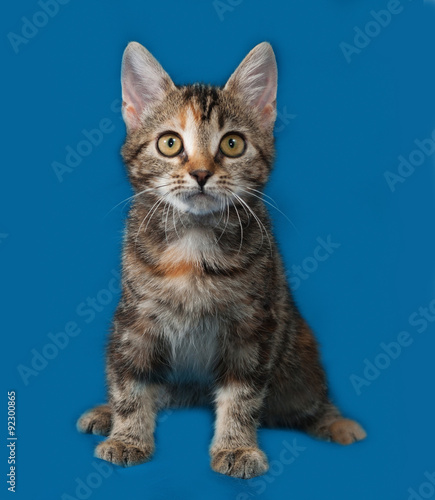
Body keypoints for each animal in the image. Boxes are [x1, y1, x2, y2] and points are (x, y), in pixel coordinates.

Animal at [78, 43, 368, 480]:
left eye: (232, 144)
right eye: (169, 144)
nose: (200, 173)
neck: (194, 244)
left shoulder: (254, 327)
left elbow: (242, 394)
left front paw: (236, 447)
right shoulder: (134, 321)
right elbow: (131, 381)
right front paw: (127, 436)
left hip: (298, 359)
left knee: (308, 399)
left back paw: (335, 422)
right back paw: (106, 412)